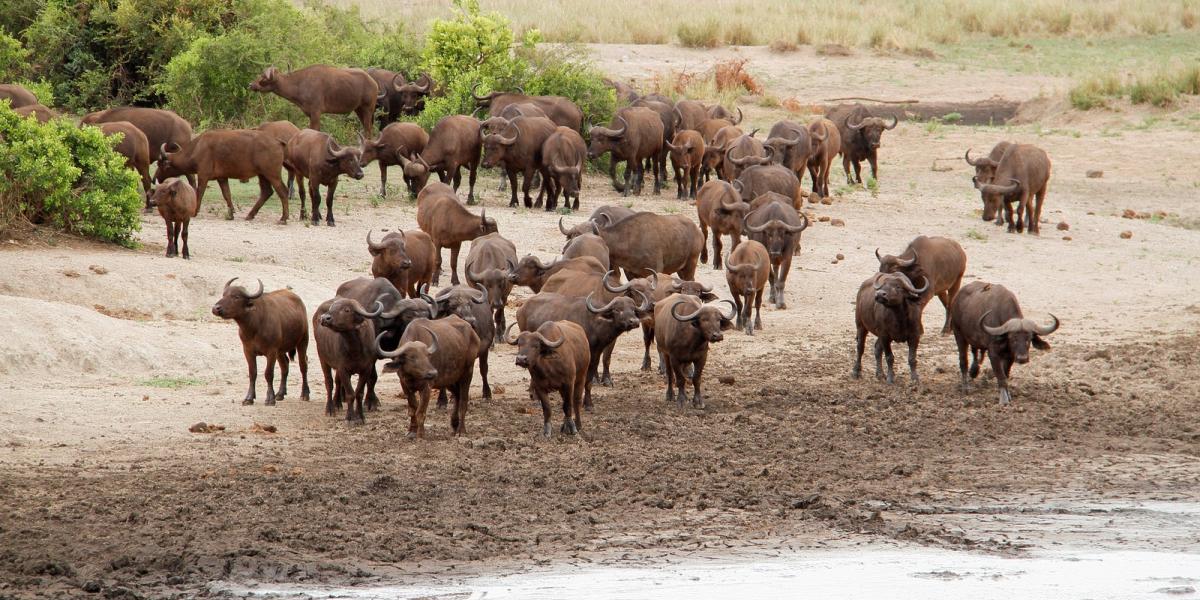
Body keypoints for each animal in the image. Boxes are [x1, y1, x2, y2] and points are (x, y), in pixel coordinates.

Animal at [156, 127, 289, 222]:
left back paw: (283, 218)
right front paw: (231, 214)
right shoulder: (222, 178)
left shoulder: (203, 176)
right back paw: (250, 215)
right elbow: (227, 194)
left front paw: (195, 212)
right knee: (267, 192)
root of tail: (277, 141)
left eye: (160, 164)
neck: (198, 147)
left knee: (282, 191)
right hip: (262, 175)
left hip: (272, 175)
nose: (156, 178)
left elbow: (200, 193)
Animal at [513, 289, 648, 408]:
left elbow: (588, 382)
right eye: (617, 309)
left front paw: (588, 404)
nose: (634, 322)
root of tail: (522, 308)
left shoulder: (595, 355)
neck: (595, 322)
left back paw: (533, 394)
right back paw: (535, 397)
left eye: (633, 309)